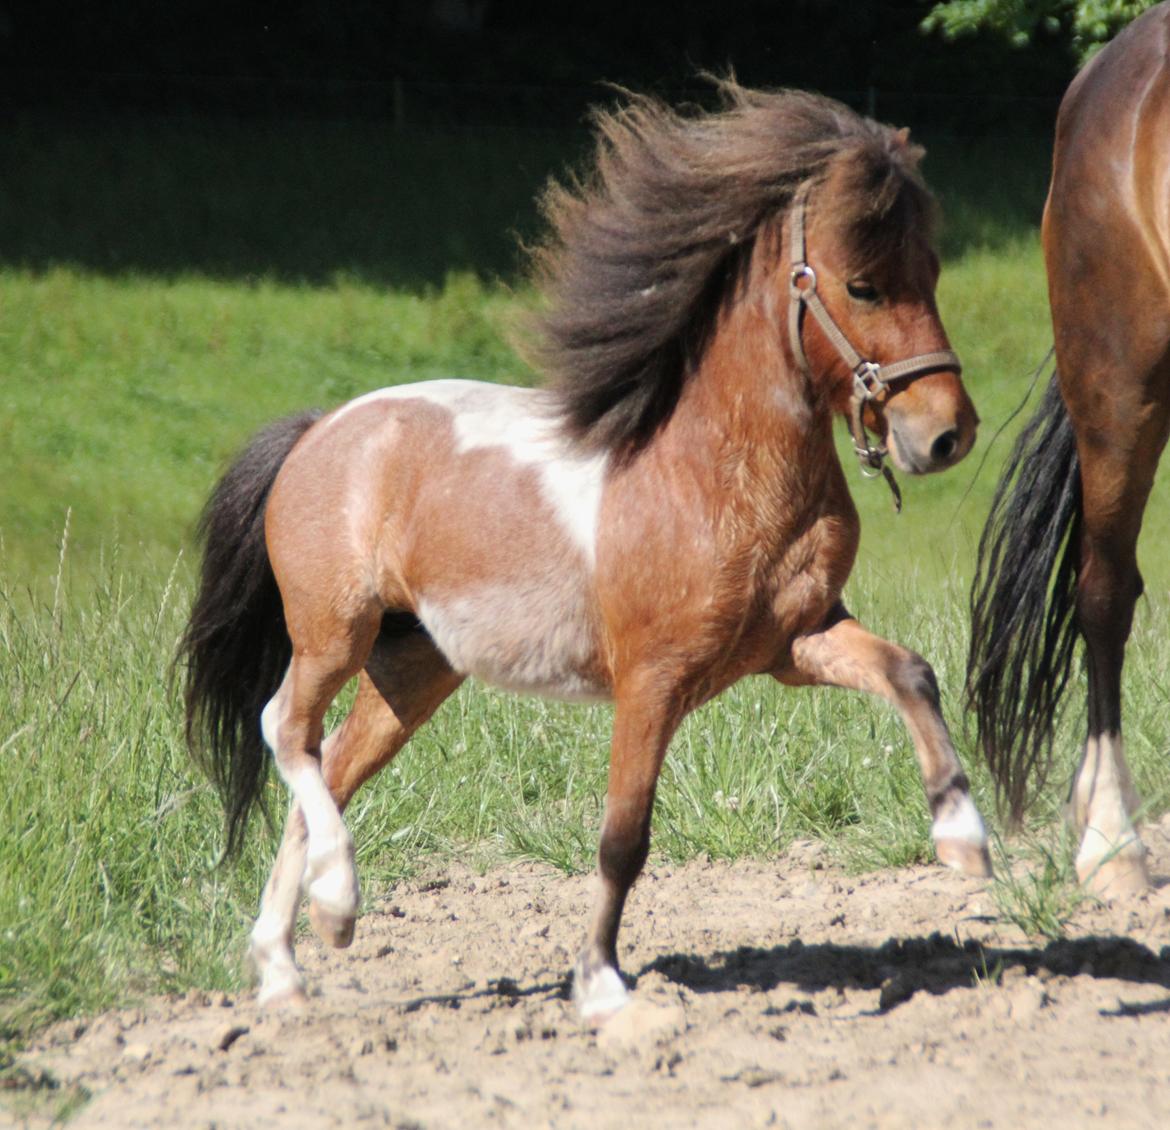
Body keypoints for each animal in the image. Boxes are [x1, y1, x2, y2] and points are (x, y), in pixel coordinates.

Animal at [180, 84, 987, 1020]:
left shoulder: (797, 642)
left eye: (932, 273)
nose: (947, 435)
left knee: (328, 769)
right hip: (334, 634)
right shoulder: (652, 683)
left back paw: (286, 963)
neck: (711, 475)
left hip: (413, 671)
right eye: (863, 283)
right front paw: (602, 987)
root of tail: (318, 434)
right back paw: (336, 907)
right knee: (286, 728)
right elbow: (623, 837)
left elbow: (909, 673)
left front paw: (964, 841)